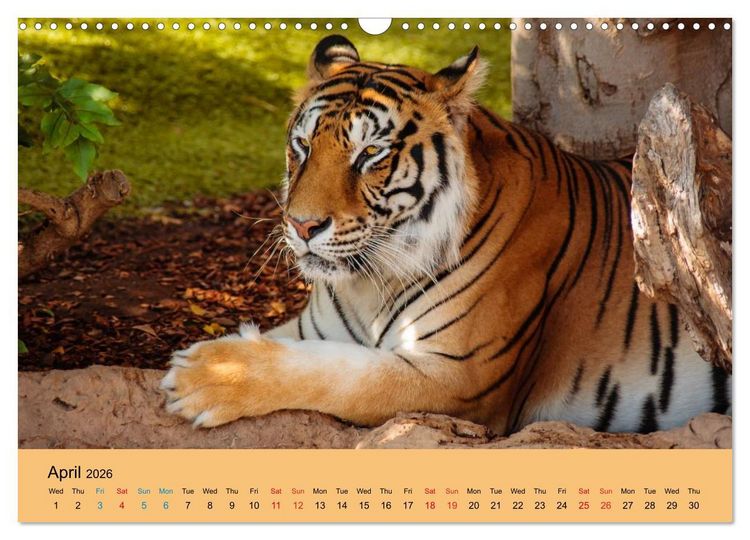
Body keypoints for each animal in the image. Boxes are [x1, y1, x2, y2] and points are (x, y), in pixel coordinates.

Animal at [160, 35, 731, 436]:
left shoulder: (459, 378)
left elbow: (341, 375)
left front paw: (205, 375)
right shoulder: (311, 329)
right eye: (302, 146)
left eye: (370, 153)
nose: (301, 226)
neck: (368, 283)